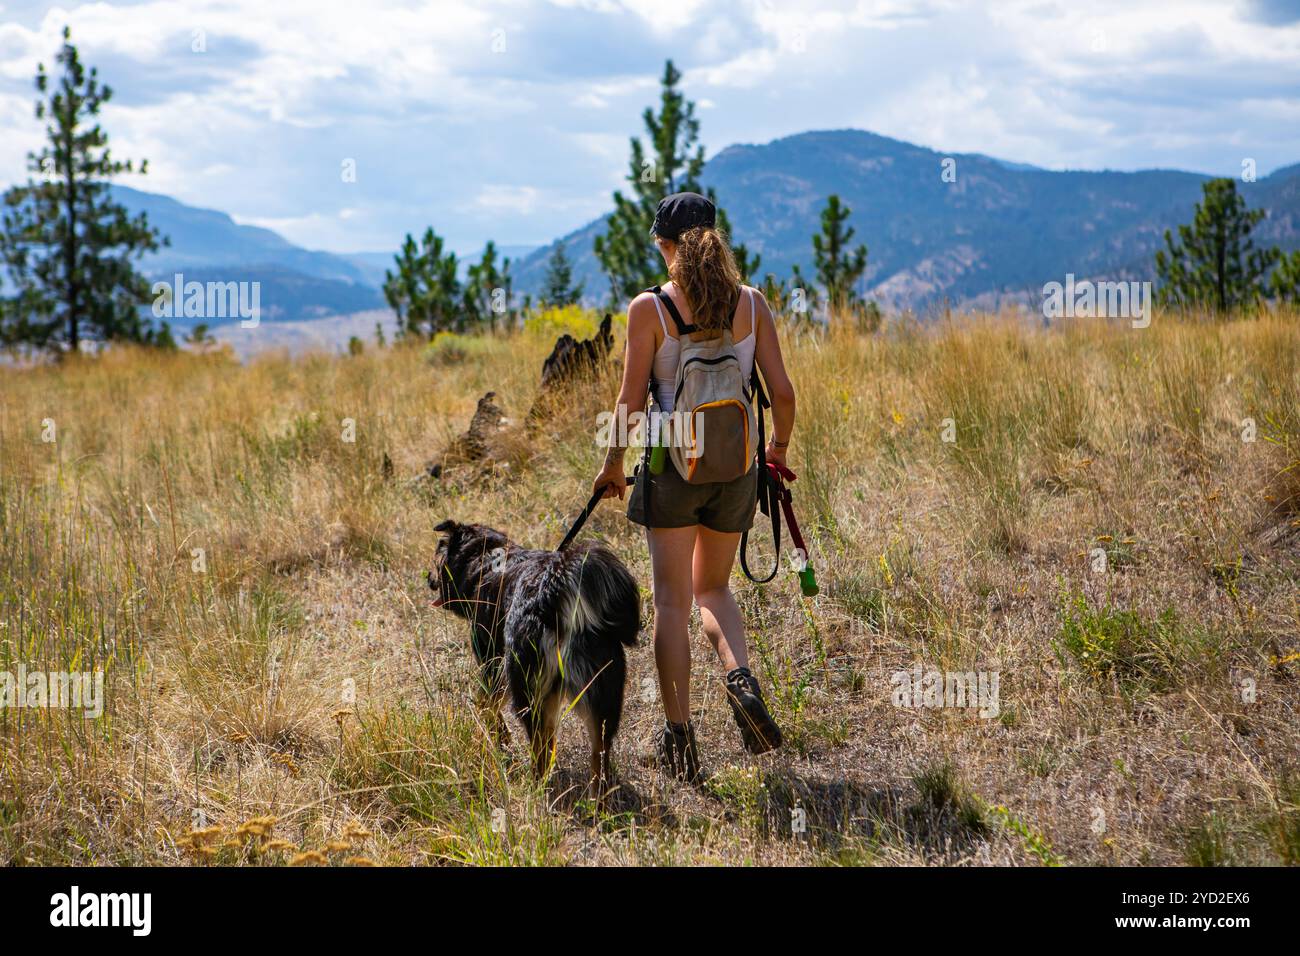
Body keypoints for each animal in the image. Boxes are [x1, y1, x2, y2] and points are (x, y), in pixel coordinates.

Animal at [428, 520, 637, 796]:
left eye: (435, 556)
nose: (428, 578)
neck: (485, 561)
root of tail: (551, 592)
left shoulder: (494, 661)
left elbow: (485, 703)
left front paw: (501, 737)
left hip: (526, 688)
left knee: (540, 747)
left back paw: (536, 786)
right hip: (602, 696)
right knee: (597, 753)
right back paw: (597, 798)